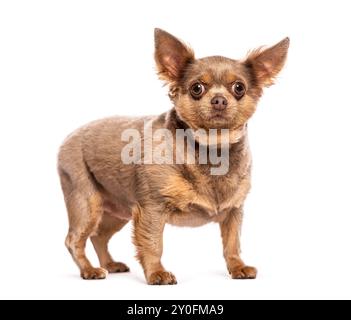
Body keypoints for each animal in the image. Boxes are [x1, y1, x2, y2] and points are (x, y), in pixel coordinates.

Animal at [57, 28, 288, 284]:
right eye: (197, 88)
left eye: (239, 88)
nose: (219, 100)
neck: (212, 151)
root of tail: (68, 137)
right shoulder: (152, 210)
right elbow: (152, 244)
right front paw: (157, 273)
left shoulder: (233, 212)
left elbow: (232, 244)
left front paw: (237, 267)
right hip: (86, 203)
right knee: (74, 240)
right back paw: (89, 270)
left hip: (117, 211)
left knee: (99, 236)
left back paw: (110, 264)